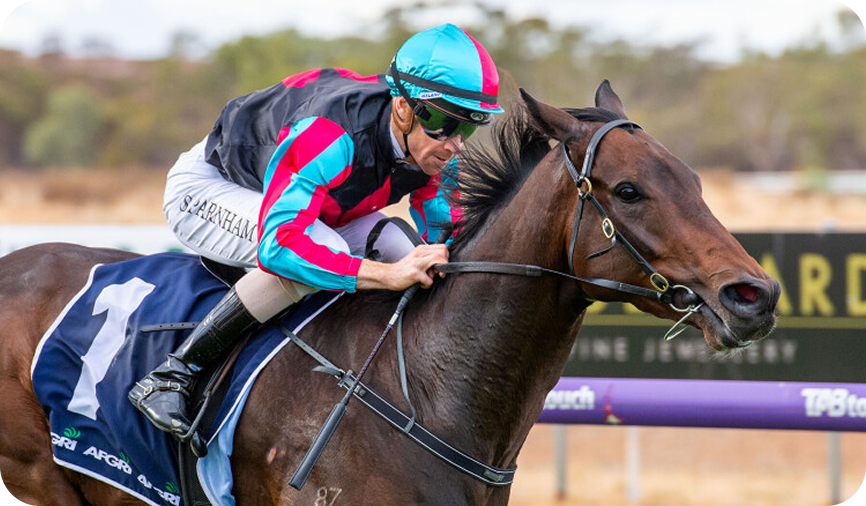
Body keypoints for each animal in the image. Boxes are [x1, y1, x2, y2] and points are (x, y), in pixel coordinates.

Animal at [0, 81, 779, 505]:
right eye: (628, 190)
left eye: (695, 181)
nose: (755, 295)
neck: (427, 389)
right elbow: (285, 243)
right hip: (37, 479)